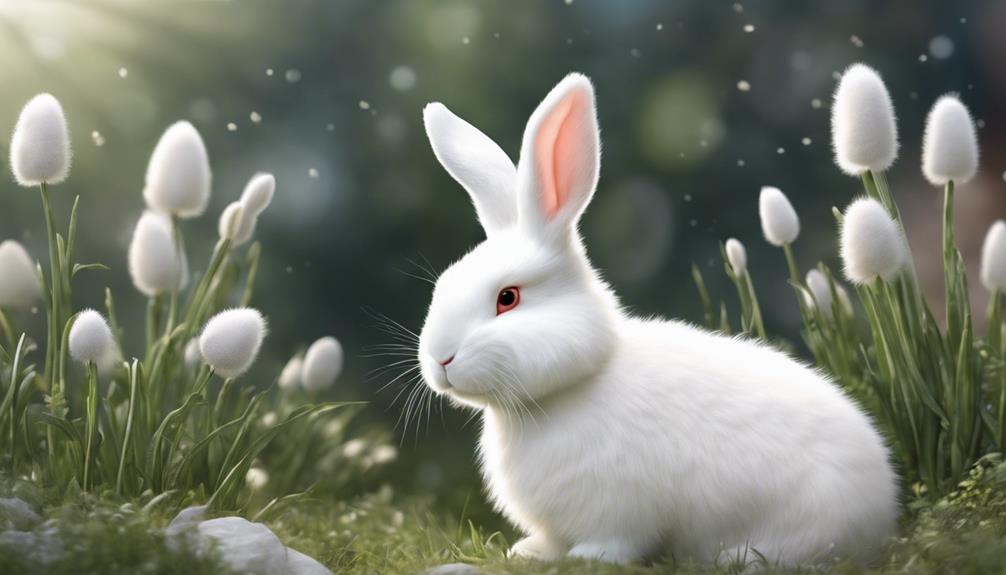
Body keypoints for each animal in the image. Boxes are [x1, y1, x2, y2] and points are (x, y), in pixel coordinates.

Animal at [417, 73, 899, 566]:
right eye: (442, 286)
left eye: (507, 298)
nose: (441, 359)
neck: (557, 397)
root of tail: (882, 508)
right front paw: (527, 553)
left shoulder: (620, 509)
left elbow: (615, 542)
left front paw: (586, 558)